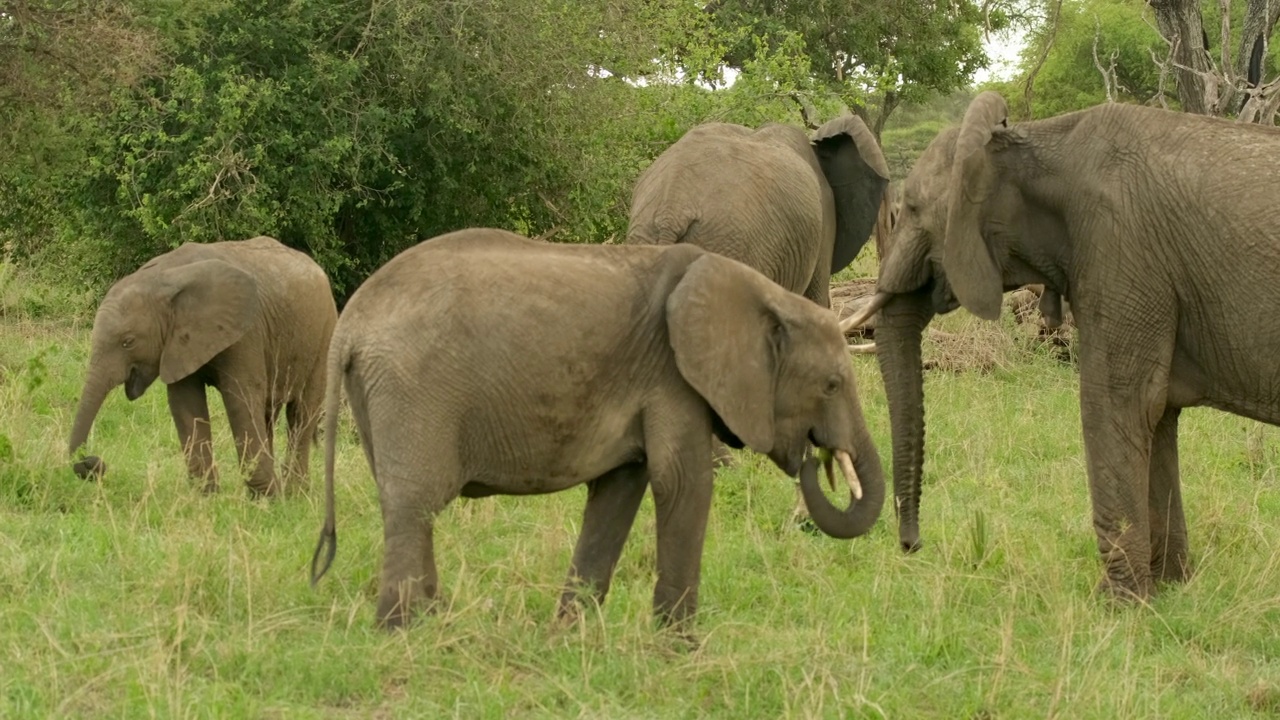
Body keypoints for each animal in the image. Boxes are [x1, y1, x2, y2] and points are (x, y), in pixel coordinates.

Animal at [68, 235, 340, 491]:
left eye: (128, 342)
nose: (94, 462)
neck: (164, 277)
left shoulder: (246, 333)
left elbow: (240, 399)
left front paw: (266, 498)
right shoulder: (179, 342)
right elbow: (186, 403)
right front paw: (207, 496)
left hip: (325, 332)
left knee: (302, 414)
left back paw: (294, 494)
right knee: (268, 414)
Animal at [311, 229, 890, 627]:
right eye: (832, 384)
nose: (816, 458)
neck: (761, 293)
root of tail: (349, 324)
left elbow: (619, 490)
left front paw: (571, 636)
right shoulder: (671, 377)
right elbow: (684, 485)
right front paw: (677, 649)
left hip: (379, 393)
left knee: (410, 507)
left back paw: (433, 624)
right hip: (413, 389)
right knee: (417, 505)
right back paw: (405, 633)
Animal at [844, 90, 1280, 599]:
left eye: (912, 208)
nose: (912, 545)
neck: (1034, 141)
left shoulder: (1120, 248)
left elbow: (1117, 403)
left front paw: (1119, 605)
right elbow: (1158, 416)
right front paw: (1170, 592)